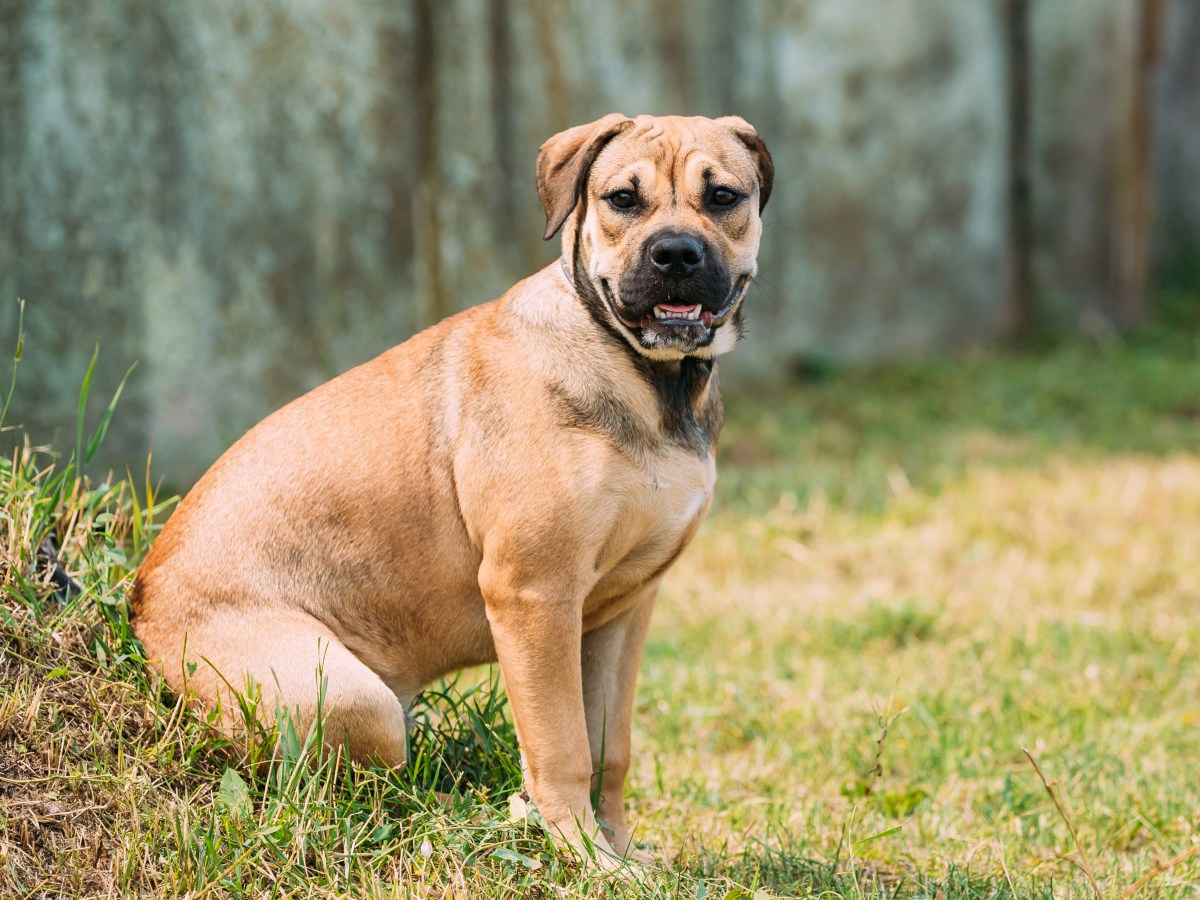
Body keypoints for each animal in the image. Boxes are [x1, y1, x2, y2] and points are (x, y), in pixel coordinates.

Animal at [129, 114, 768, 868]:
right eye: (622, 200)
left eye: (723, 197)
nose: (675, 254)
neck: (649, 380)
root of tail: (140, 602)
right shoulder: (534, 593)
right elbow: (563, 746)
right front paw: (582, 855)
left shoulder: (622, 610)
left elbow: (610, 748)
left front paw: (619, 851)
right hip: (348, 698)